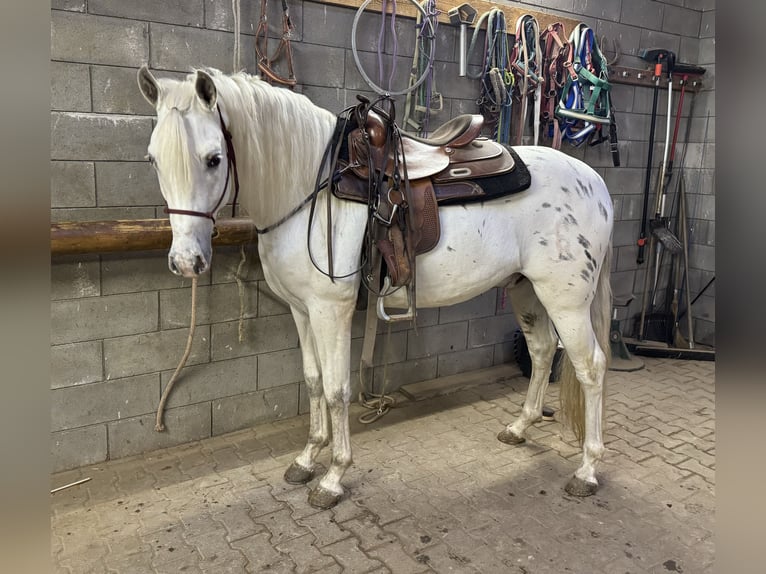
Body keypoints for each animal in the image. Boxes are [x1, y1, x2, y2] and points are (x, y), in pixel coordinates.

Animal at [140, 67, 616, 512]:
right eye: (153, 160)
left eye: (213, 159)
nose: (186, 261)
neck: (309, 191)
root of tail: (594, 180)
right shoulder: (301, 310)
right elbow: (313, 381)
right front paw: (306, 459)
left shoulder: (331, 309)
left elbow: (337, 390)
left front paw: (333, 477)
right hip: (525, 290)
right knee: (542, 351)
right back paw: (519, 428)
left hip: (566, 299)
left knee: (590, 366)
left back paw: (588, 470)